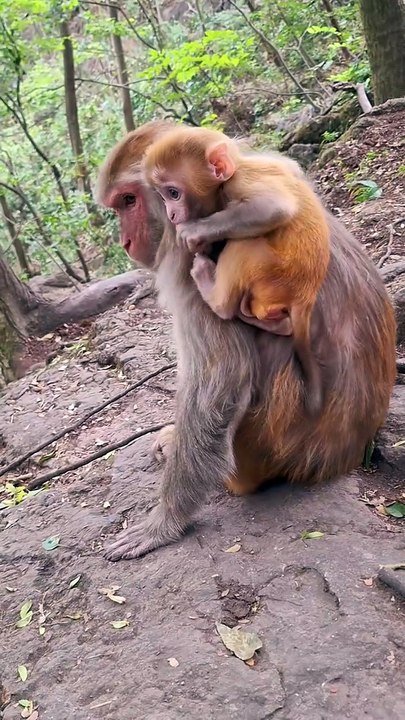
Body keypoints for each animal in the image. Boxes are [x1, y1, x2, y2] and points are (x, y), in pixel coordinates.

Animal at [142, 126, 330, 415]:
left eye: (173, 193)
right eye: (162, 196)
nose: (172, 216)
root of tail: (305, 297)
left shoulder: (238, 183)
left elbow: (274, 207)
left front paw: (195, 232)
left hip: (275, 274)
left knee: (244, 244)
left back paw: (215, 294)